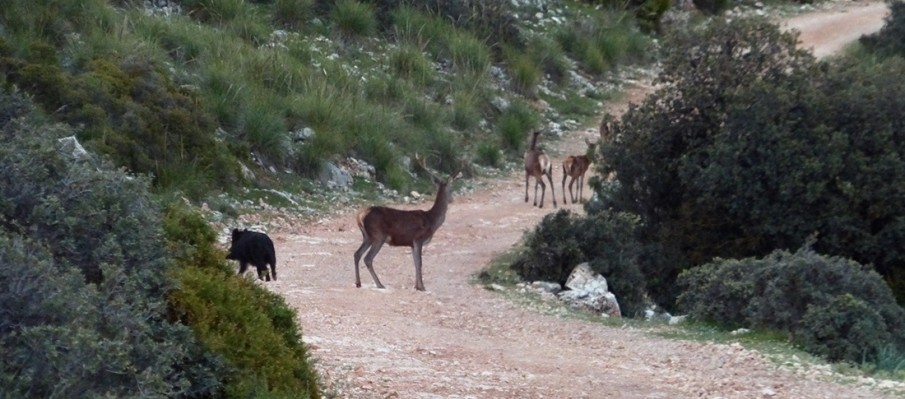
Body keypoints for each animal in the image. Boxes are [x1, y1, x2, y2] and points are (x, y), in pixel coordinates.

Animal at [354, 158, 466, 292]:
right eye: (451, 189)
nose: (453, 199)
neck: (431, 220)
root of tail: (361, 215)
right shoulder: (418, 239)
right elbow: (420, 263)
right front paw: (422, 287)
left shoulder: (412, 244)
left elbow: (415, 263)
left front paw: (417, 286)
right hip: (378, 235)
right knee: (368, 258)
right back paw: (379, 284)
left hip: (367, 236)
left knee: (357, 254)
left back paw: (358, 283)